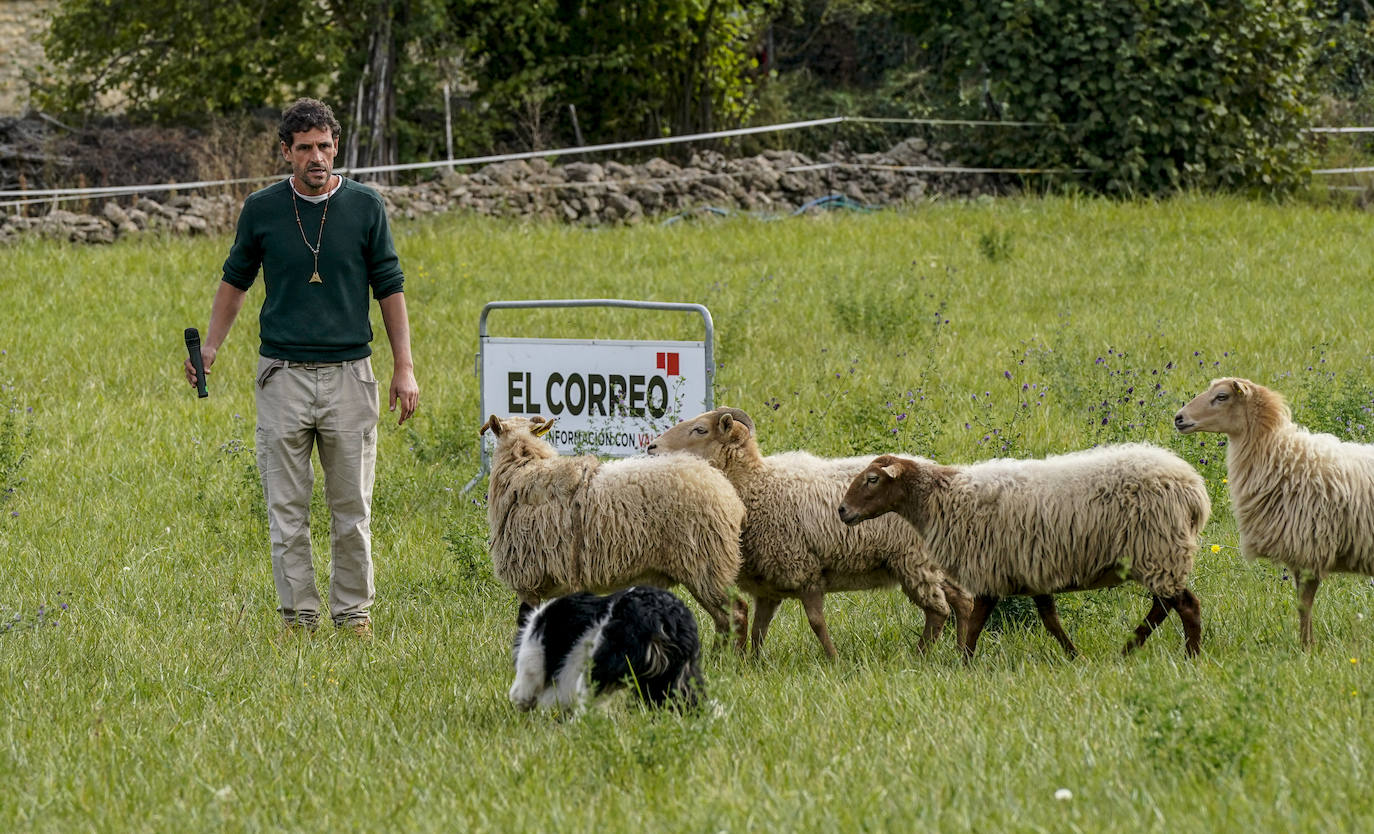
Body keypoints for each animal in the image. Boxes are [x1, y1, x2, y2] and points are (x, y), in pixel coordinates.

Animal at [480, 414, 747, 648]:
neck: (523, 468)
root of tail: (728, 493)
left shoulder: (529, 580)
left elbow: (525, 625)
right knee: (724, 619)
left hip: (706, 563)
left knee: (737, 613)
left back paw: (733, 660)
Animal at [648, 406, 972, 662]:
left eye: (700, 429)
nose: (651, 447)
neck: (757, 484)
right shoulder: (768, 585)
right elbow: (759, 629)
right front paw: (752, 665)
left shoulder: (803, 568)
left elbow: (816, 622)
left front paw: (834, 660)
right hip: (933, 561)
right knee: (962, 600)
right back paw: (960, 652)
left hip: (913, 561)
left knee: (939, 610)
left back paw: (920, 656)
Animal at [835, 447, 1214, 662]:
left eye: (872, 479)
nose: (842, 511)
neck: (942, 497)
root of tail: (1194, 488)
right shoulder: (1033, 569)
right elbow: (1050, 621)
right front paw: (1074, 656)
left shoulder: (989, 567)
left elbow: (977, 622)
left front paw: (963, 663)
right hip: (1156, 555)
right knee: (1164, 605)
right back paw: (1129, 650)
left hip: (1158, 550)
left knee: (1185, 605)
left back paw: (1191, 657)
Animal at [1176, 376, 1374, 648]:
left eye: (1222, 396)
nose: (1179, 418)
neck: (1278, 452)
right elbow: (1302, 602)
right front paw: (1307, 644)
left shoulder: (1309, 547)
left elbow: (1304, 604)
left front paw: (1306, 648)